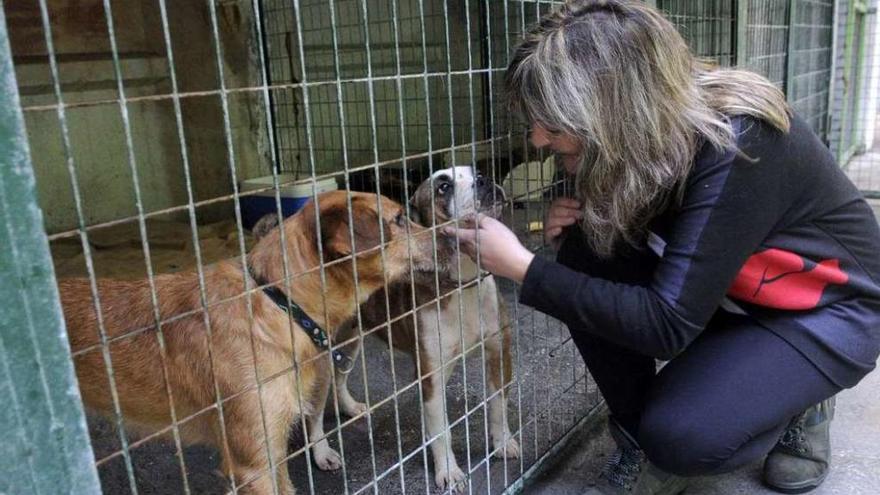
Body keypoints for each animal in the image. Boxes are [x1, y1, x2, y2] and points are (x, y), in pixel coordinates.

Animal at [316, 167, 524, 492]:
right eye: (443, 187)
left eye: (476, 172)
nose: (485, 179)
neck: (462, 283)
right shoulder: (431, 373)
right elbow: (442, 429)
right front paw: (448, 471)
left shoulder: (498, 352)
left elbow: (498, 405)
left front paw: (503, 443)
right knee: (311, 414)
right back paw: (321, 453)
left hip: (351, 339)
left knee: (340, 376)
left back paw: (349, 407)